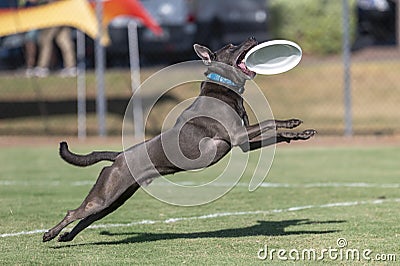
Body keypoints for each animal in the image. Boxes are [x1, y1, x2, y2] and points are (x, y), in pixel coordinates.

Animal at [41, 37, 316, 243]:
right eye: (230, 46)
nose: (251, 38)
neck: (223, 86)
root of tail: (118, 156)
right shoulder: (238, 134)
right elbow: (270, 122)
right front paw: (292, 121)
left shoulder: (245, 142)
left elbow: (275, 135)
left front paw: (301, 134)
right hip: (106, 193)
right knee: (76, 212)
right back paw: (50, 234)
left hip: (115, 198)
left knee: (88, 218)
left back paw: (66, 237)